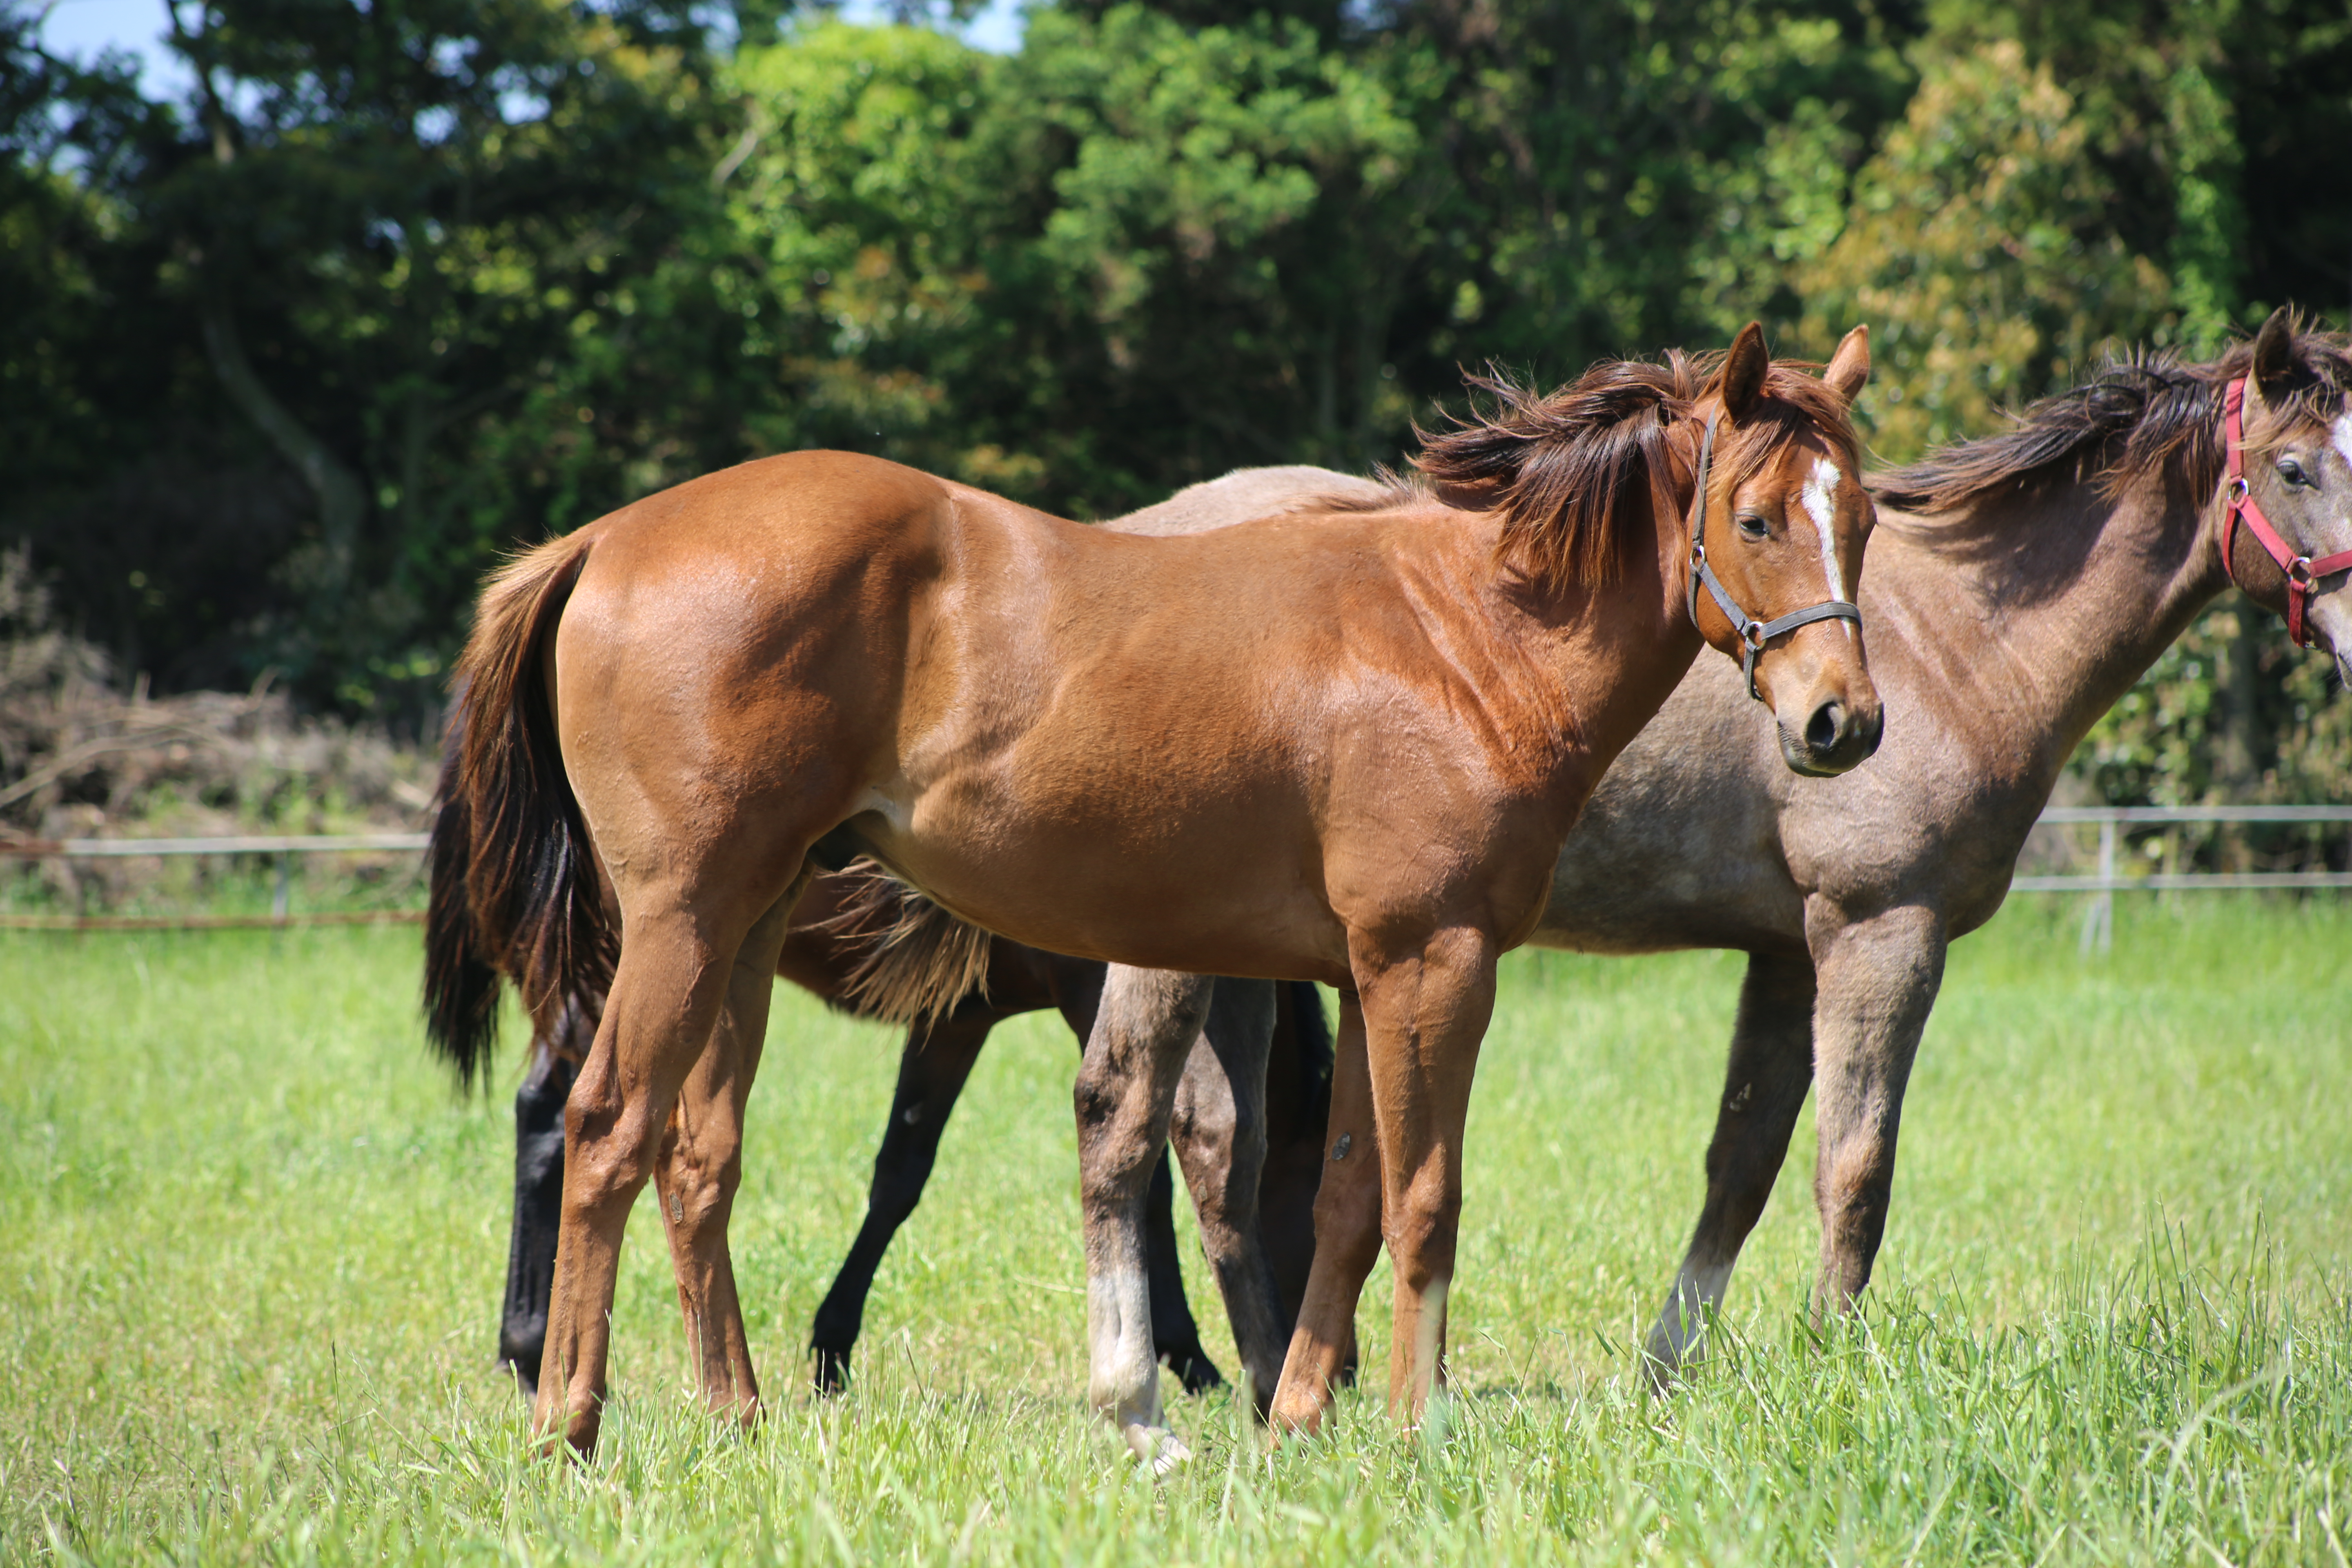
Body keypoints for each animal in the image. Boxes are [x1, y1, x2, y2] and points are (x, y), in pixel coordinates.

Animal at [437, 324, 1872, 1467]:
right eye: (1757, 519)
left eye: (1859, 520)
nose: (1843, 722)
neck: (1458, 636)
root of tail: (600, 541)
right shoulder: (1437, 962)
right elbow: (1425, 1198)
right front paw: (1419, 1427)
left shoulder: (1367, 976)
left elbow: (1345, 1197)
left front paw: (1299, 1417)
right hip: (676, 926)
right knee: (604, 1130)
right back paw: (566, 1426)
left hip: (746, 924)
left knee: (698, 1157)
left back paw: (737, 1417)